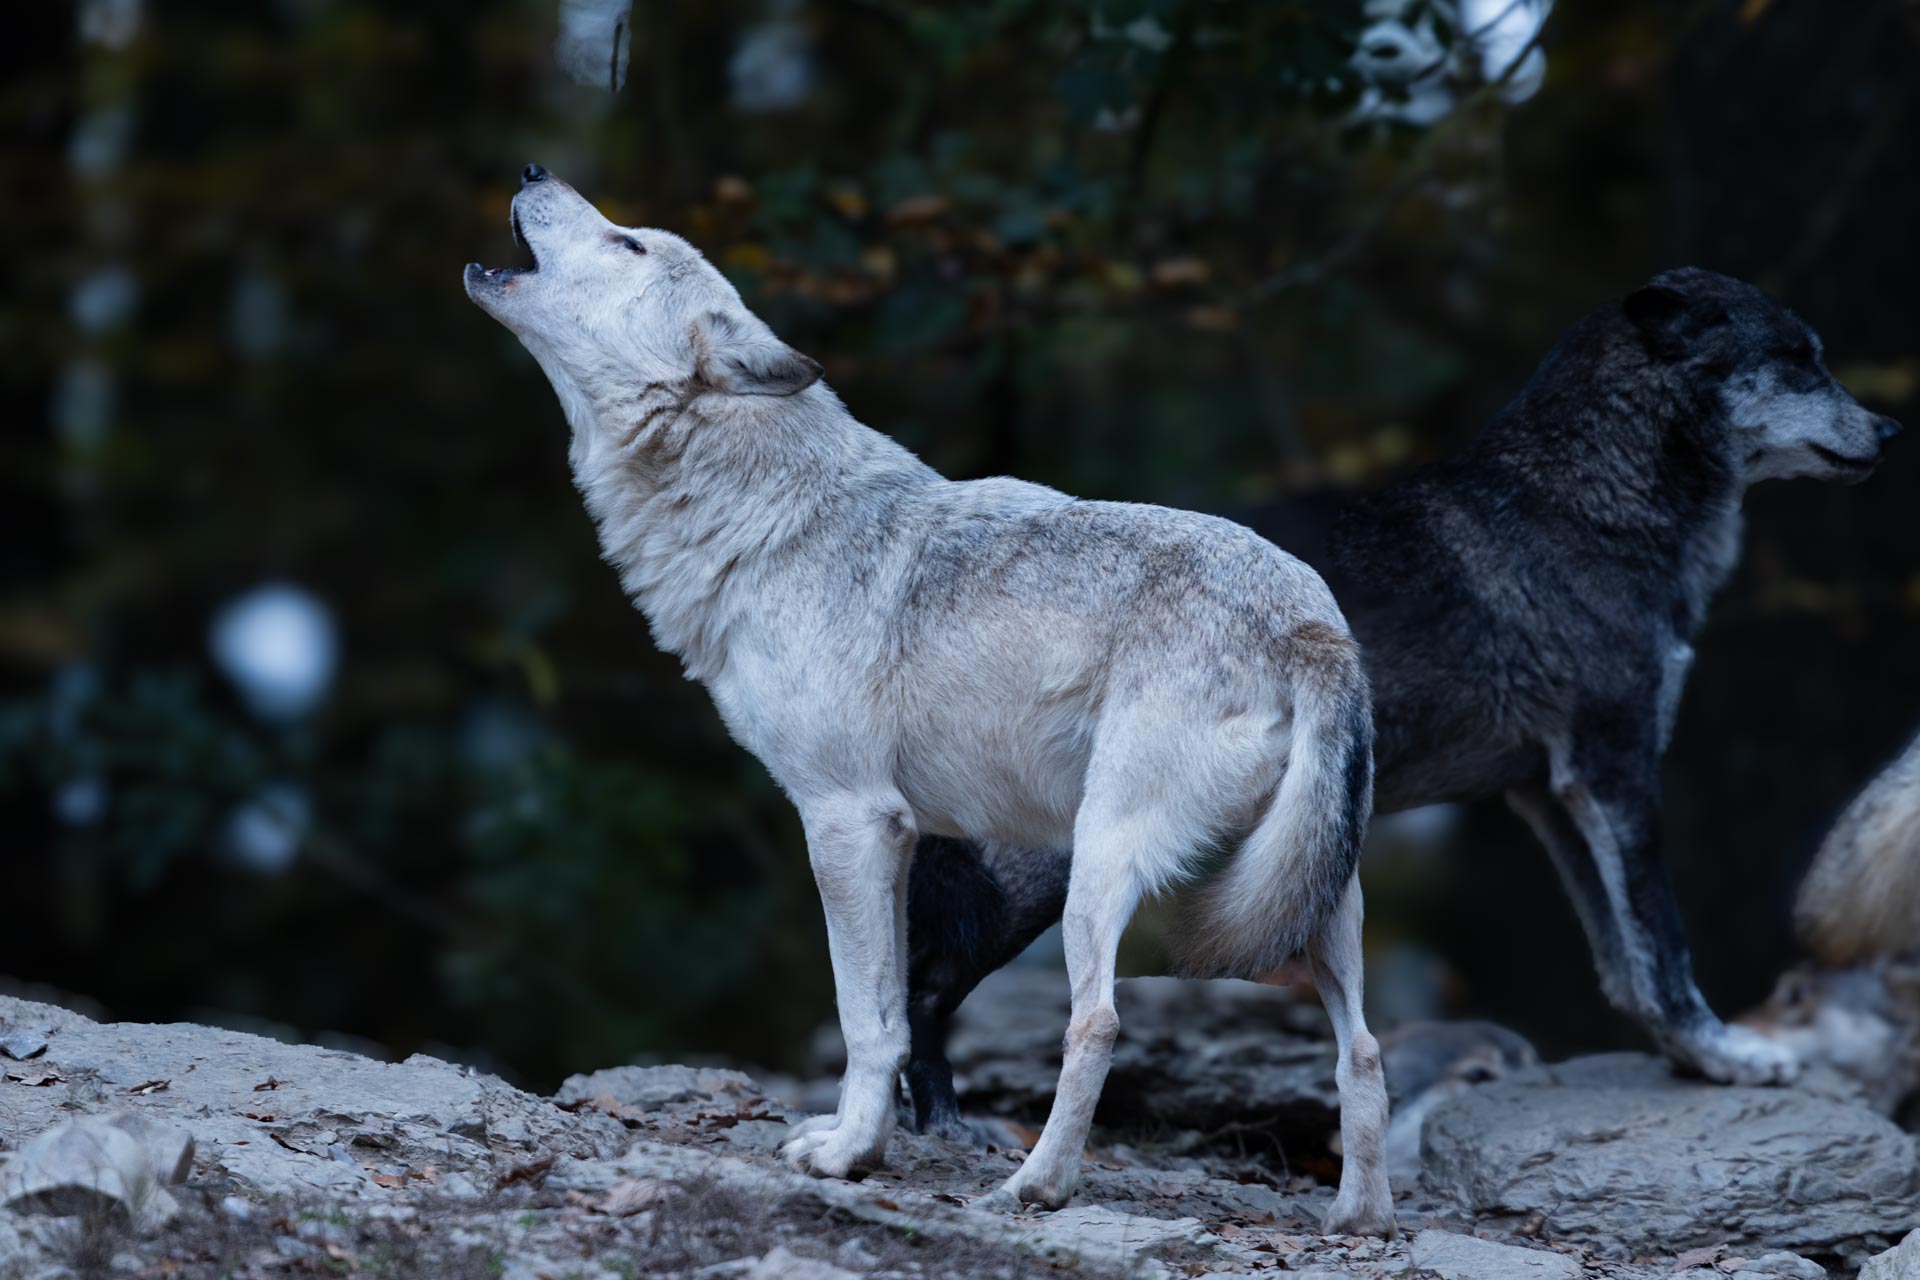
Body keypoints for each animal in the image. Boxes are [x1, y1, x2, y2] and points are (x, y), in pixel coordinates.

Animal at [465, 166, 1395, 1232]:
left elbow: (865, 1017)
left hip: (1096, 868)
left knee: (1098, 1020)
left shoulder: (848, 819)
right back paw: (1362, 1220)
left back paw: (1035, 1187)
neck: (763, 518)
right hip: (1319, 899)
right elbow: (897, 1013)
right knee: (1365, 1050)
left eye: (630, 244)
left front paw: (847, 1155)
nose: (533, 170)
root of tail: (1311, 626)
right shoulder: (902, 838)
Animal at [904, 268, 1902, 1138]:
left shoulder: (1550, 797)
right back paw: (943, 1128)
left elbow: (1623, 965)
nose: (1893, 431)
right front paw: (1725, 1057)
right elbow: (1665, 947)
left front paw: (1689, 1058)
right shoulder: (1616, 774)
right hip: (1042, 872)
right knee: (924, 982)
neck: (1584, 509)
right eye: (1800, 358)